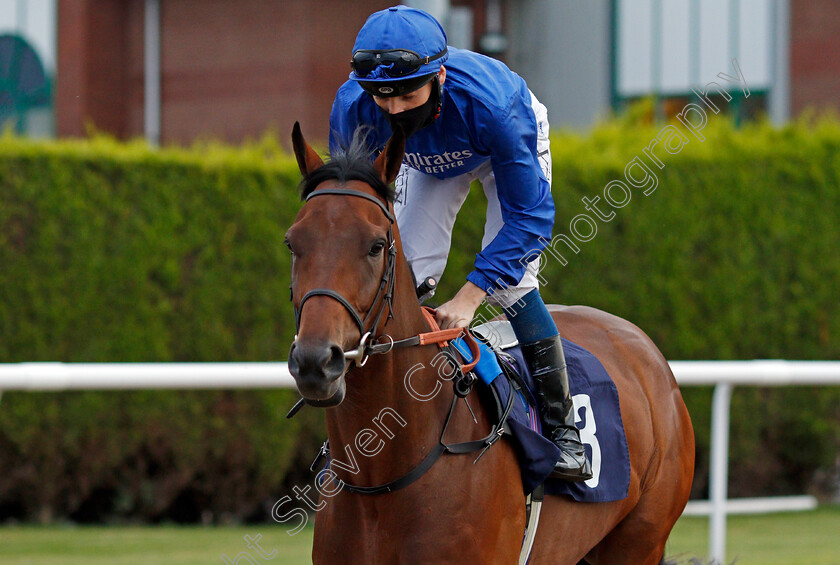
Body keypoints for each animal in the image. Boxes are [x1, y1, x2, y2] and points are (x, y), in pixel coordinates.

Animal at [286, 124, 692, 564]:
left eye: (376, 245)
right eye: (292, 243)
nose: (315, 361)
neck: (384, 476)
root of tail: (644, 349)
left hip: (640, 540)